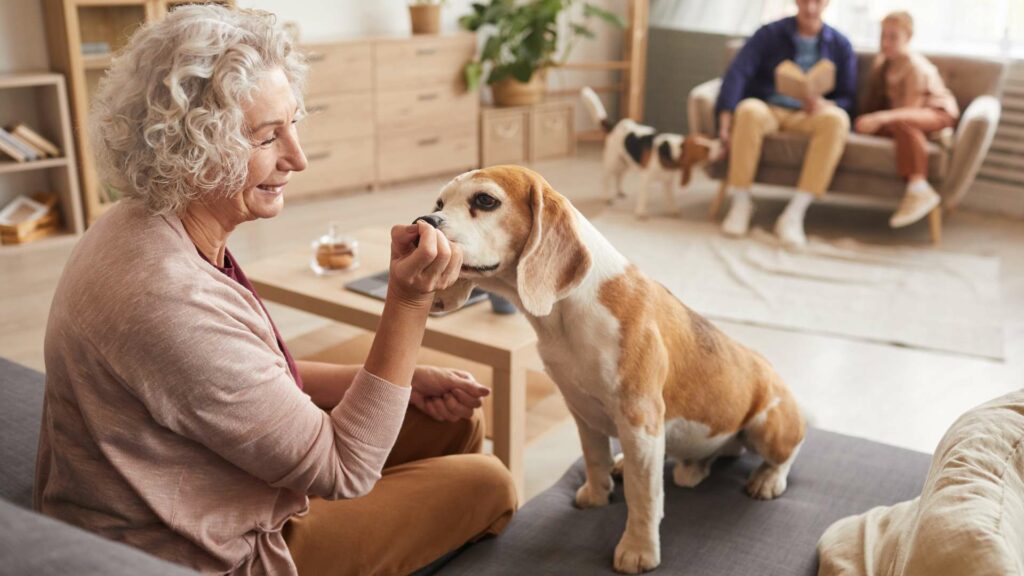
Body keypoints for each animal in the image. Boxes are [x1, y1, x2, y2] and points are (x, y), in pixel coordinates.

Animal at [425, 165, 806, 569]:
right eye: (439, 203)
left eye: (485, 200)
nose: (424, 222)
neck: (565, 313)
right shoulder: (581, 409)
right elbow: (595, 458)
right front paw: (597, 494)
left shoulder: (640, 420)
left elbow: (643, 497)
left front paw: (639, 550)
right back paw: (683, 467)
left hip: (767, 426)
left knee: (790, 449)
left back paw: (768, 479)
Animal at [585, 86, 720, 218]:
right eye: (705, 150)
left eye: (709, 138)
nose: (720, 143)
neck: (671, 150)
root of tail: (615, 125)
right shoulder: (645, 178)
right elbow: (644, 196)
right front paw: (641, 212)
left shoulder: (668, 182)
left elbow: (671, 198)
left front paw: (673, 210)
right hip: (612, 161)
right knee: (605, 179)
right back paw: (606, 197)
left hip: (625, 162)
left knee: (619, 176)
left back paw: (620, 191)